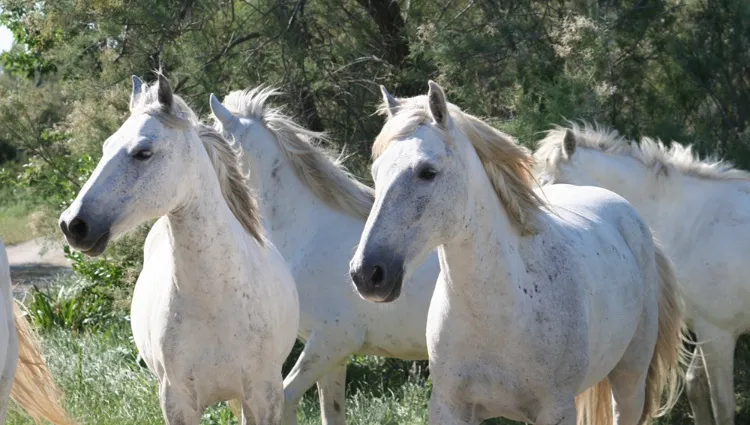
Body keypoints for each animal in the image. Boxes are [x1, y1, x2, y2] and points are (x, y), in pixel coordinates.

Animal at [58, 74, 300, 422]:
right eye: (105, 147)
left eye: (143, 152)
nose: (72, 224)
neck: (216, 303)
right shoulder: (177, 403)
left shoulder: (265, 396)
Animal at [352, 82, 688, 424]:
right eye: (376, 172)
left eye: (427, 172)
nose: (367, 273)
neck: (501, 307)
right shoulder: (450, 409)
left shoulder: (555, 410)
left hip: (629, 382)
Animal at [536, 121, 748, 424]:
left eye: (548, 183)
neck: (695, 224)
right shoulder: (706, 331)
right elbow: (695, 385)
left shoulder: (719, 333)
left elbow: (722, 404)